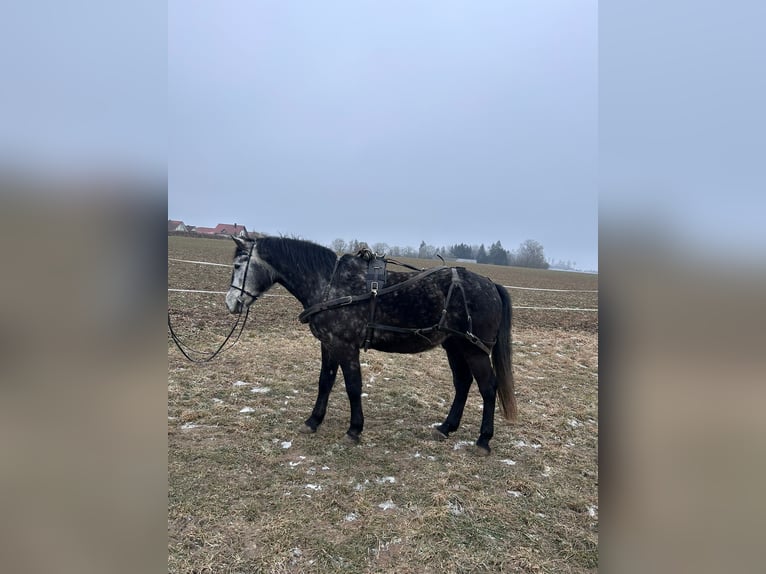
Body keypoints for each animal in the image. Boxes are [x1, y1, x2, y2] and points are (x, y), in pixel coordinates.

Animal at [225, 235, 516, 455]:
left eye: (239, 265)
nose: (231, 303)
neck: (331, 285)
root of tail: (490, 284)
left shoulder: (346, 346)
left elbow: (353, 387)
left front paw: (354, 430)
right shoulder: (329, 345)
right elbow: (325, 382)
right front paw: (313, 421)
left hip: (474, 350)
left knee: (488, 388)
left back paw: (483, 440)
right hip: (455, 347)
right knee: (462, 384)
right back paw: (446, 428)